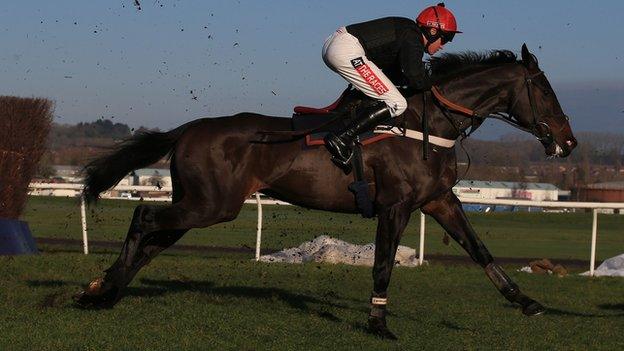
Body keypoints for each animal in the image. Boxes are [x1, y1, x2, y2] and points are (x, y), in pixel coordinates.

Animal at [77, 44, 576, 340]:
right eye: (546, 92)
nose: (569, 142)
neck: (428, 125)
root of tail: (186, 129)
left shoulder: (439, 201)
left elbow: (480, 250)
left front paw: (527, 301)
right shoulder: (394, 206)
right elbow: (382, 266)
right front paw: (378, 323)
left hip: (199, 204)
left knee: (153, 239)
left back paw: (104, 288)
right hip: (211, 205)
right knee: (143, 219)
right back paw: (102, 289)